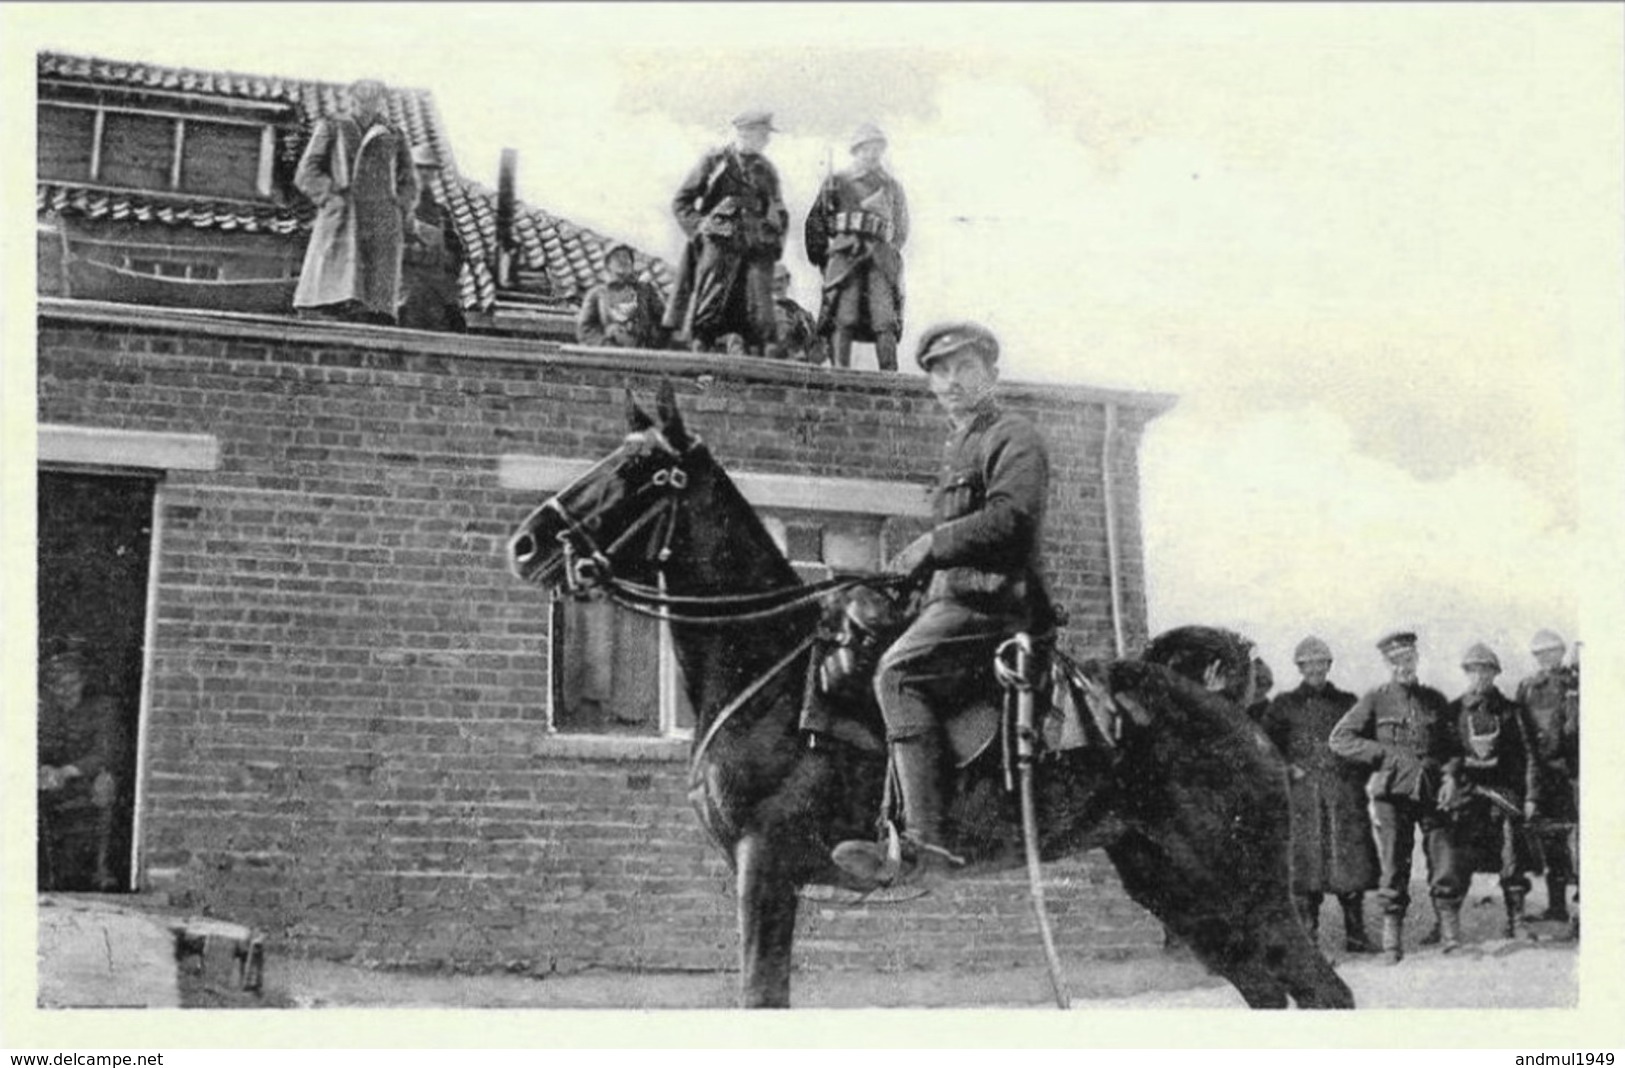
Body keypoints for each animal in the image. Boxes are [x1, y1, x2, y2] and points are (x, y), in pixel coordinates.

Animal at [510, 383, 1358, 1007]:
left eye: (646, 473)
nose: (526, 543)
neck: (769, 673)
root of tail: (1230, 712)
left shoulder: (765, 867)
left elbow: (760, 996)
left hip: (1247, 885)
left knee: (1322, 991)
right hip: (1178, 885)